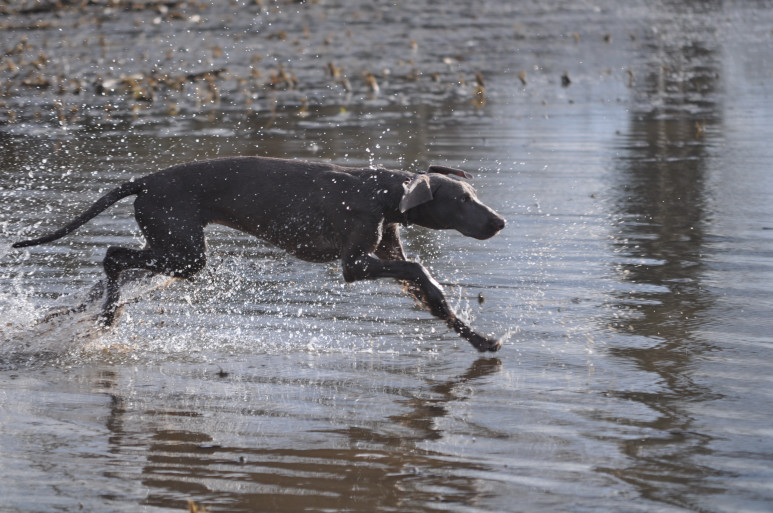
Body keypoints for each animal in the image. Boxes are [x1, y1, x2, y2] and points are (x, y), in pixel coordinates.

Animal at [13, 157, 506, 352]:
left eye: (473, 194)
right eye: (462, 200)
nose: (500, 222)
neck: (384, 193)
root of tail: (144, 181)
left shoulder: (384, 252)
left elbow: (431, 295)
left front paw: (480, 339)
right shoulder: (355, 263)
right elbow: (420, 269)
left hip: (170, 247)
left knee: (108, 273)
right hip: (183, 252)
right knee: (113, 256)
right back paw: (106, 319)